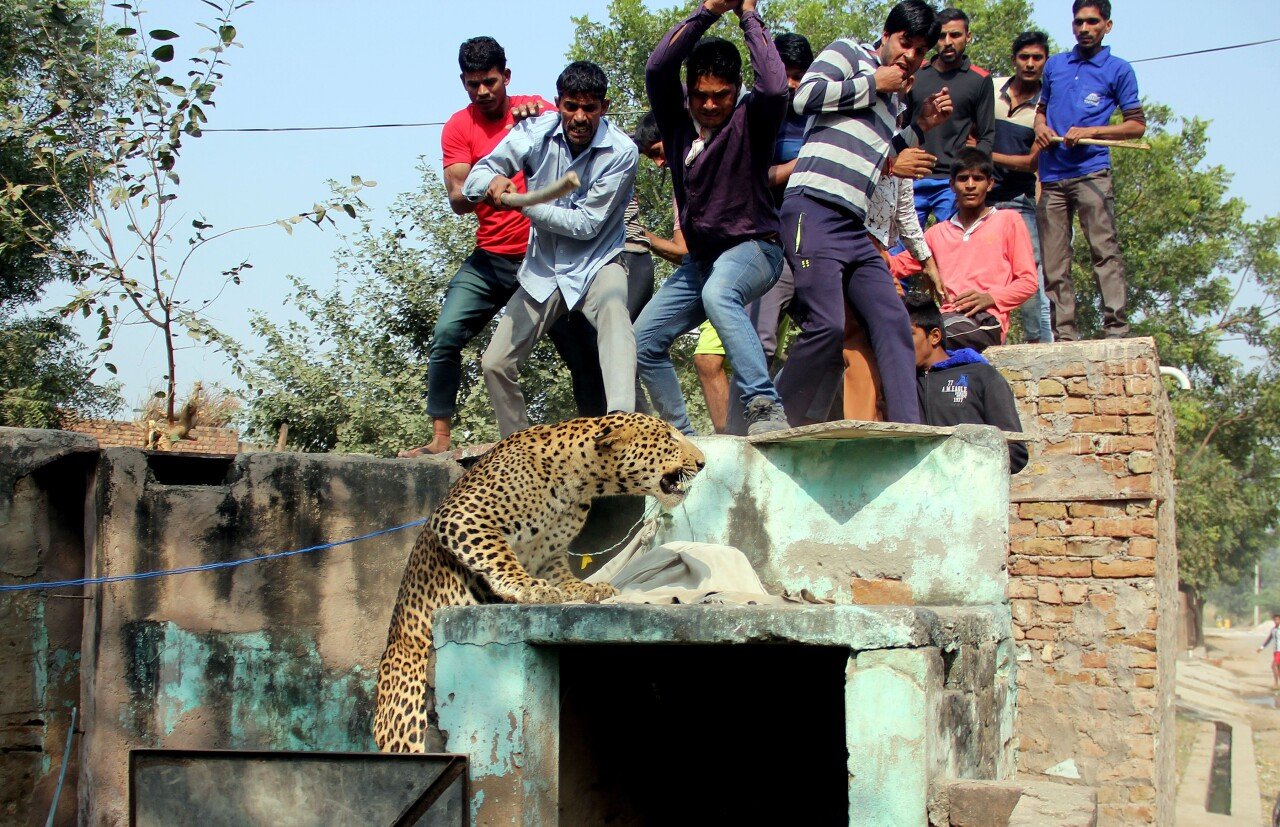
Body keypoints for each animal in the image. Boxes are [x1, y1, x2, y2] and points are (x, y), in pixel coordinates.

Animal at [371, 412, 711, 752]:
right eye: (669, 437)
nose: (702, 462)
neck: (582, 481)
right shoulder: (462, 514)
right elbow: (496, 553)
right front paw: (528, 586)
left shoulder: (550, 552)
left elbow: (561, 575)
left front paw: (586, 588)